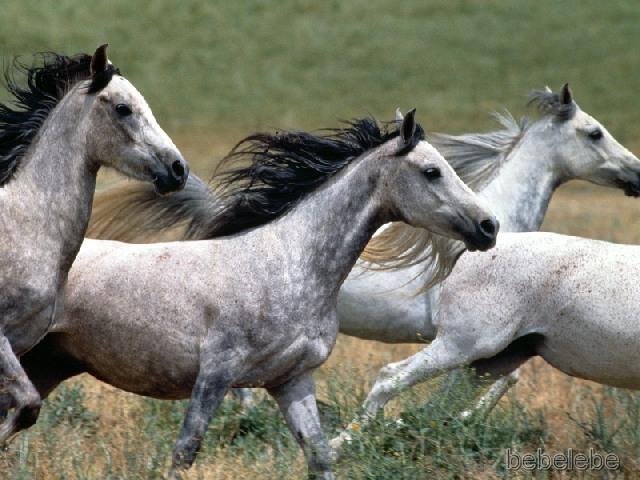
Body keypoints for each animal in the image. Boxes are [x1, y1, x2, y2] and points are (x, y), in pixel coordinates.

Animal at [8, 111, 498, 479]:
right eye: (432, 171)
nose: (489, 226)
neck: (286, 265)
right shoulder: (216, 373)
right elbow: (185, 450)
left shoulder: (292, 380)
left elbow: (319, 456)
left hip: (48, 365)